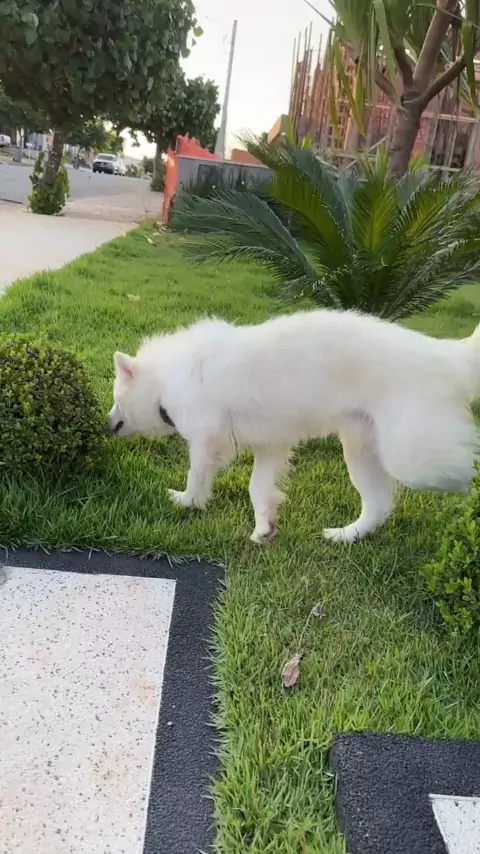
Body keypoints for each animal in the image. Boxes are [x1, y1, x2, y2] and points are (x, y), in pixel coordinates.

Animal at [108, 309, 480, 544]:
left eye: (114, 397)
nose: (107, 424)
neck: (165, 379)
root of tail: (450, 357)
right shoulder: (272, 446)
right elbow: (258, 489)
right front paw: (264, 528)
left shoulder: (205, 441)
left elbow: (196, 478)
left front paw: (187, 502)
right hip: (361, 452)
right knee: (378, 507)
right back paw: (345, 536)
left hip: (413, 460)